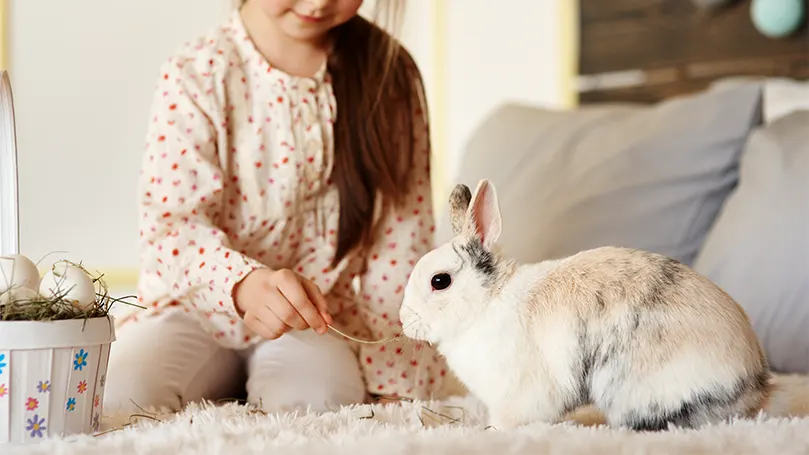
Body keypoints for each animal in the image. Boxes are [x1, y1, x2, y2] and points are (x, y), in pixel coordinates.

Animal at [398, 178, 772, 432]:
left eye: (440, 281)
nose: (404, 321)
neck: (489, 302)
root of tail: (755, 384)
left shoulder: (518, 394)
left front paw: (492, 431)